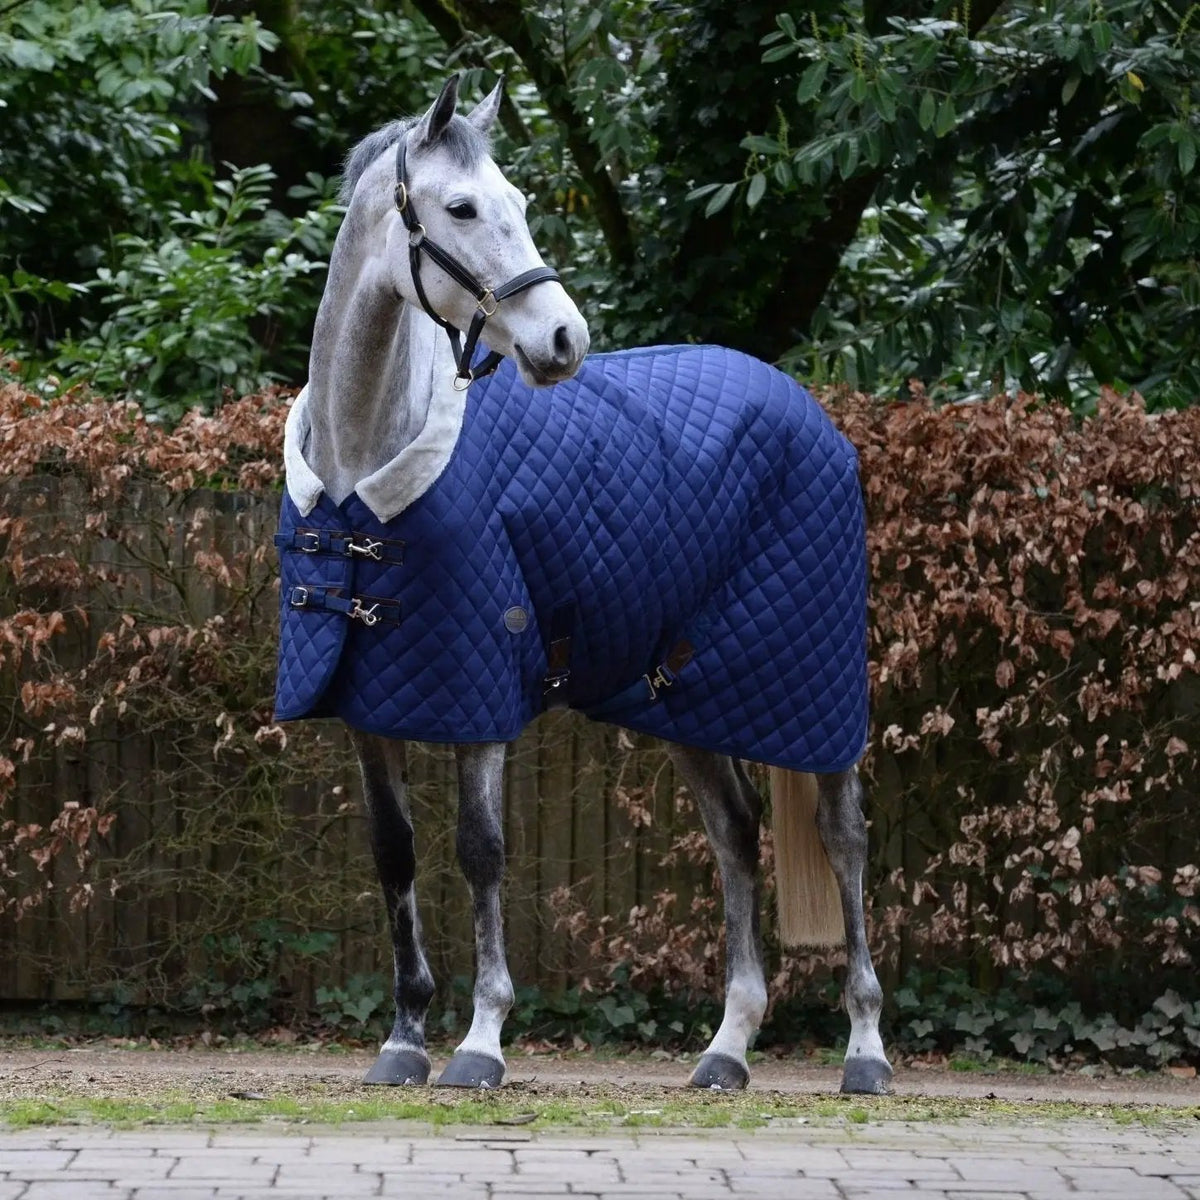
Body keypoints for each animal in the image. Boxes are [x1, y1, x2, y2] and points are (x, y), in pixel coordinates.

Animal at [274, 74, 891, 1096]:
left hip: (809, 687)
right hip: (687, 695)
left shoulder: (478, 693)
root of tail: (808, 412)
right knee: (736, 832)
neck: (370, 462)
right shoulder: (370, 702)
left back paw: (866, 1051)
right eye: (461, 208)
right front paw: (403, 1038)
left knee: (843, 839)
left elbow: (480, 851)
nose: (564, 338)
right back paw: (727, 1048)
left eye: (523, 203)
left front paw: (482, 1041)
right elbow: (395, 854)